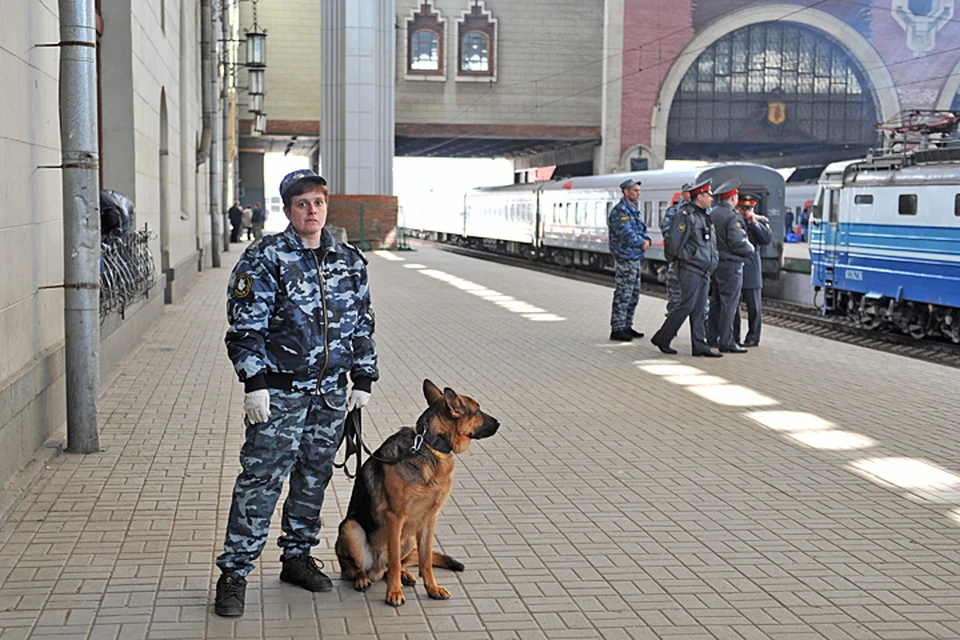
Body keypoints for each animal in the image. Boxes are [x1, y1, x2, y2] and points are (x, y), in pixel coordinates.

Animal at [336, 378, 502, 608]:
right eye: (477, 410)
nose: (499, 423)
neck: (430, 444)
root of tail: (375, 570)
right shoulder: (395, 518)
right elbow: (395, 562)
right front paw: (394, 593)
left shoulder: (429, 518)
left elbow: (426, 560)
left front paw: (432, 588)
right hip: (352, 529)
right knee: (355, 569)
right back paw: (363, 579)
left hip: (408, 538)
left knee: (395, 566)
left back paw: (405, 575)